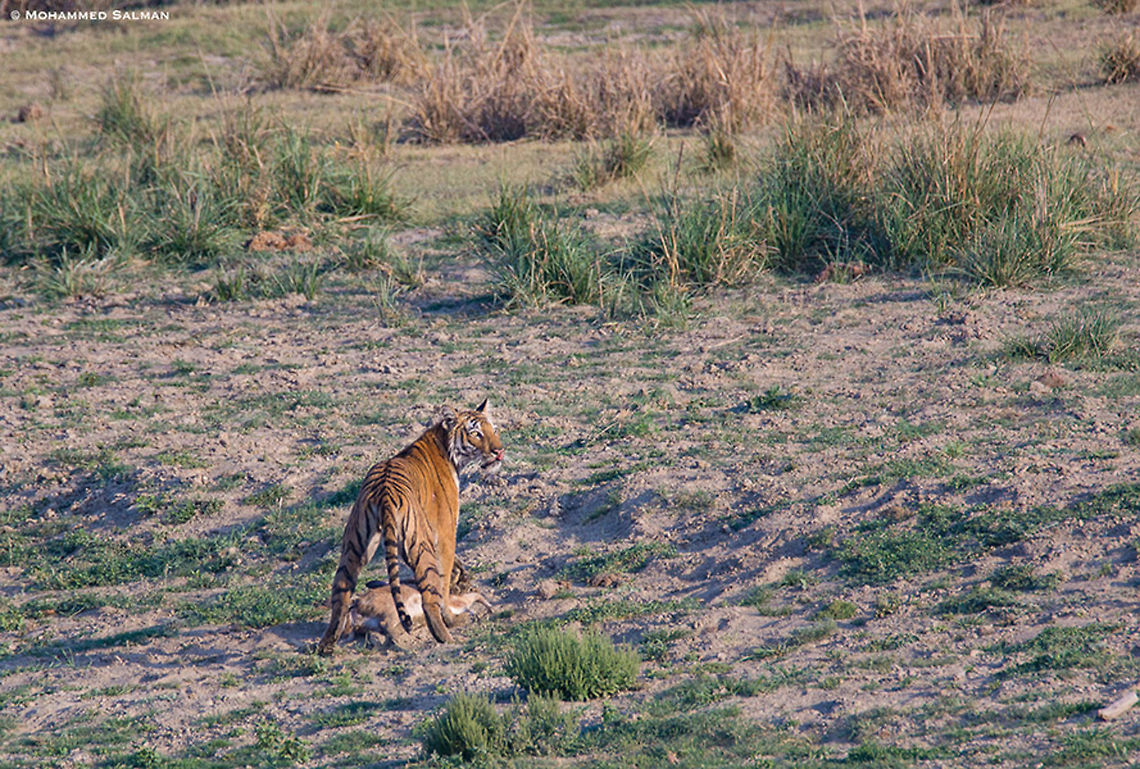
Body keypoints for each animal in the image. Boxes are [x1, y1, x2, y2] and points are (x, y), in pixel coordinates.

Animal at [316, 399, 503, 655]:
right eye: (476, 434)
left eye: (493, 430)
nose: (499, 451)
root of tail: (384, 490)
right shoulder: (445, 533)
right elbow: (444, 580)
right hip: (420, 545)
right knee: (429, 597)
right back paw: (447, 634)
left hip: (354, 545)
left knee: (341, 593)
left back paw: (326, 644)